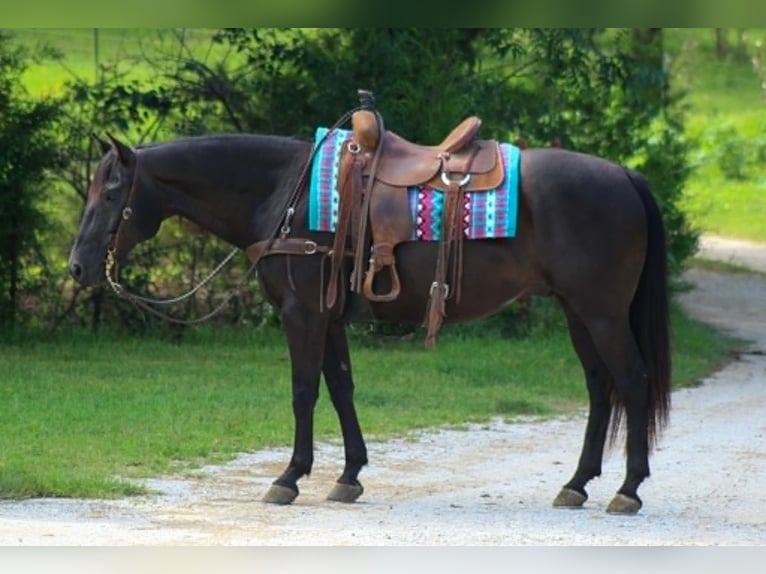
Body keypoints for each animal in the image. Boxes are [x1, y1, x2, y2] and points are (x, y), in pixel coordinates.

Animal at [67, 115, 671, 515]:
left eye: (112, 192)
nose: (77, 267)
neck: (284, 194)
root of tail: (625, 177)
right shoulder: (330, 316)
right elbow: (341, 388)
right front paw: (349, 475)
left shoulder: (303, 314)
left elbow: (304, 391)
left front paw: (289, 477)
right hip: (578, 312)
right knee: (600, 388)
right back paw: (577, 484)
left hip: (602, 313)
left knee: (631, 380)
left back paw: (628, 489)